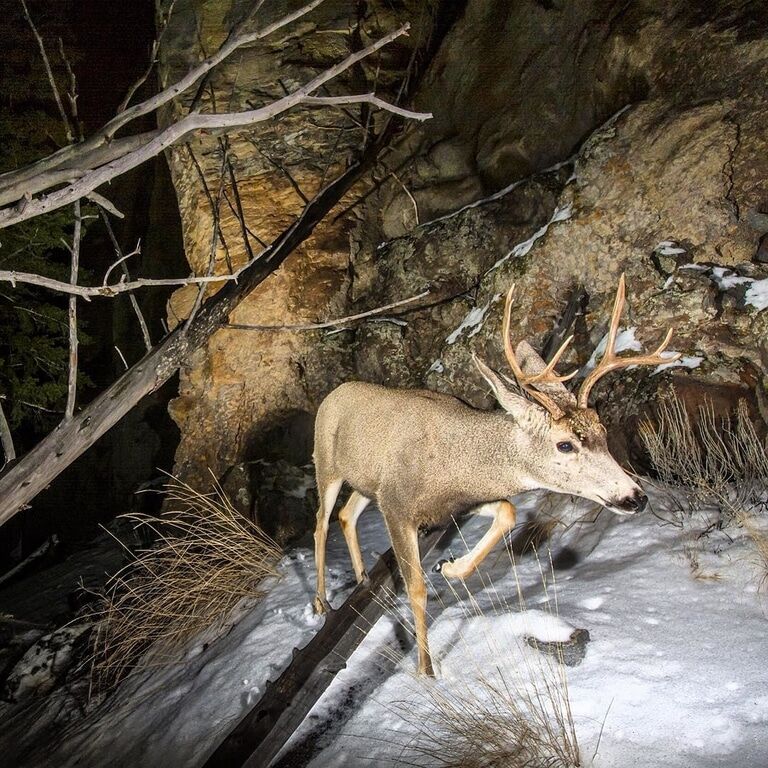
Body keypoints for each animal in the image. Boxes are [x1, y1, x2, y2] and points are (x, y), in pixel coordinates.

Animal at [310, 274, 680, 672]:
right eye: (565, 445)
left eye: (603, 430)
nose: (635, 497)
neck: (453, 463)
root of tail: (334, 393)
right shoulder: (396, 505)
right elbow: (416, 588)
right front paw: (426, 671)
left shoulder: (458, 504)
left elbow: (508, 511)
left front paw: (449, 566)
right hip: (326, 463)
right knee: (321, 523)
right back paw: (322, 602)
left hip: (364, 482)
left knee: (347, 514)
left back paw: (362, 577)